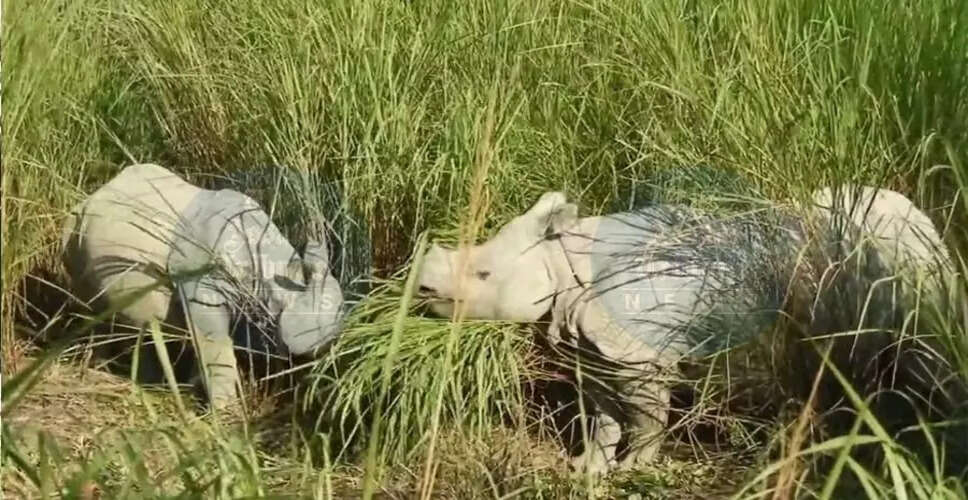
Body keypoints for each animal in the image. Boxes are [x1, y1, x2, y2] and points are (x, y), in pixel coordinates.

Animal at [61, 163, 345, 410]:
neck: (277, 274)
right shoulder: (202, 286)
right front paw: (225, 411)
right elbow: (215, 347)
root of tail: (93, 195)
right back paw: (102, 369)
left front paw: (196, 389)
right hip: (73, 231)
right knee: (93, 304)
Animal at [415, 187, 952, 475]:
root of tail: (923, 219)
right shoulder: (593, 347)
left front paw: (634, 468)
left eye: (483, 274)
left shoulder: (640, 353)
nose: (419, 288)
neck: (561, 259)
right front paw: (588, 468)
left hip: (900, 257)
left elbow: (646, 416)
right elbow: (604, 415)